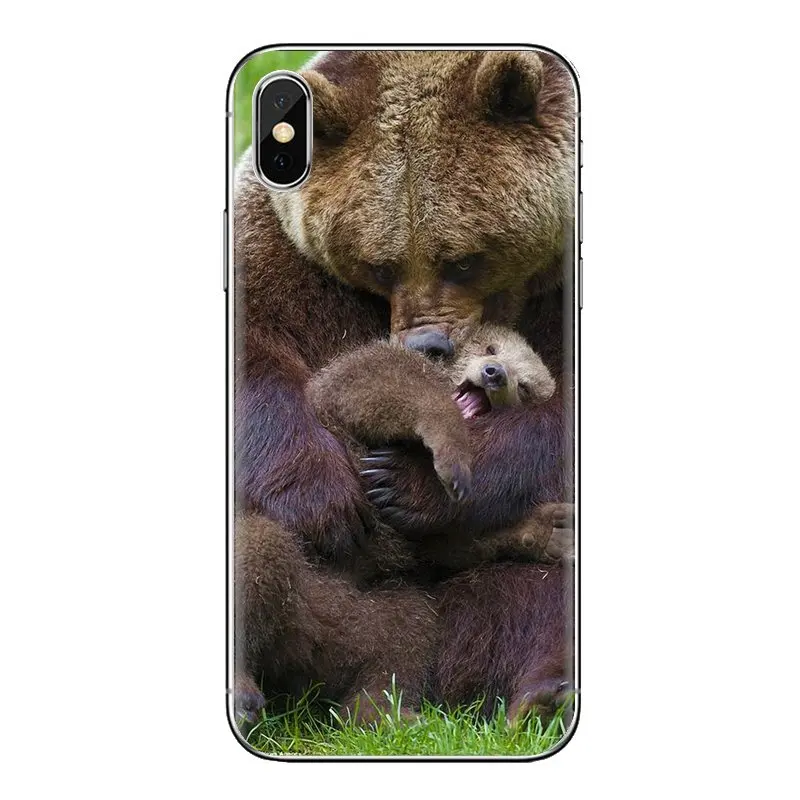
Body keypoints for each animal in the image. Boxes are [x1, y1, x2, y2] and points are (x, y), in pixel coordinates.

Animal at [233, 49, 576, 721]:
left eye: (464, 258)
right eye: (378, 264)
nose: (428, 344)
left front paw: (412, 483)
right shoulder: (279, 247)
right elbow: (260, 350)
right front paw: (328, 497)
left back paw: (543, 688)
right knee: (258, 554)